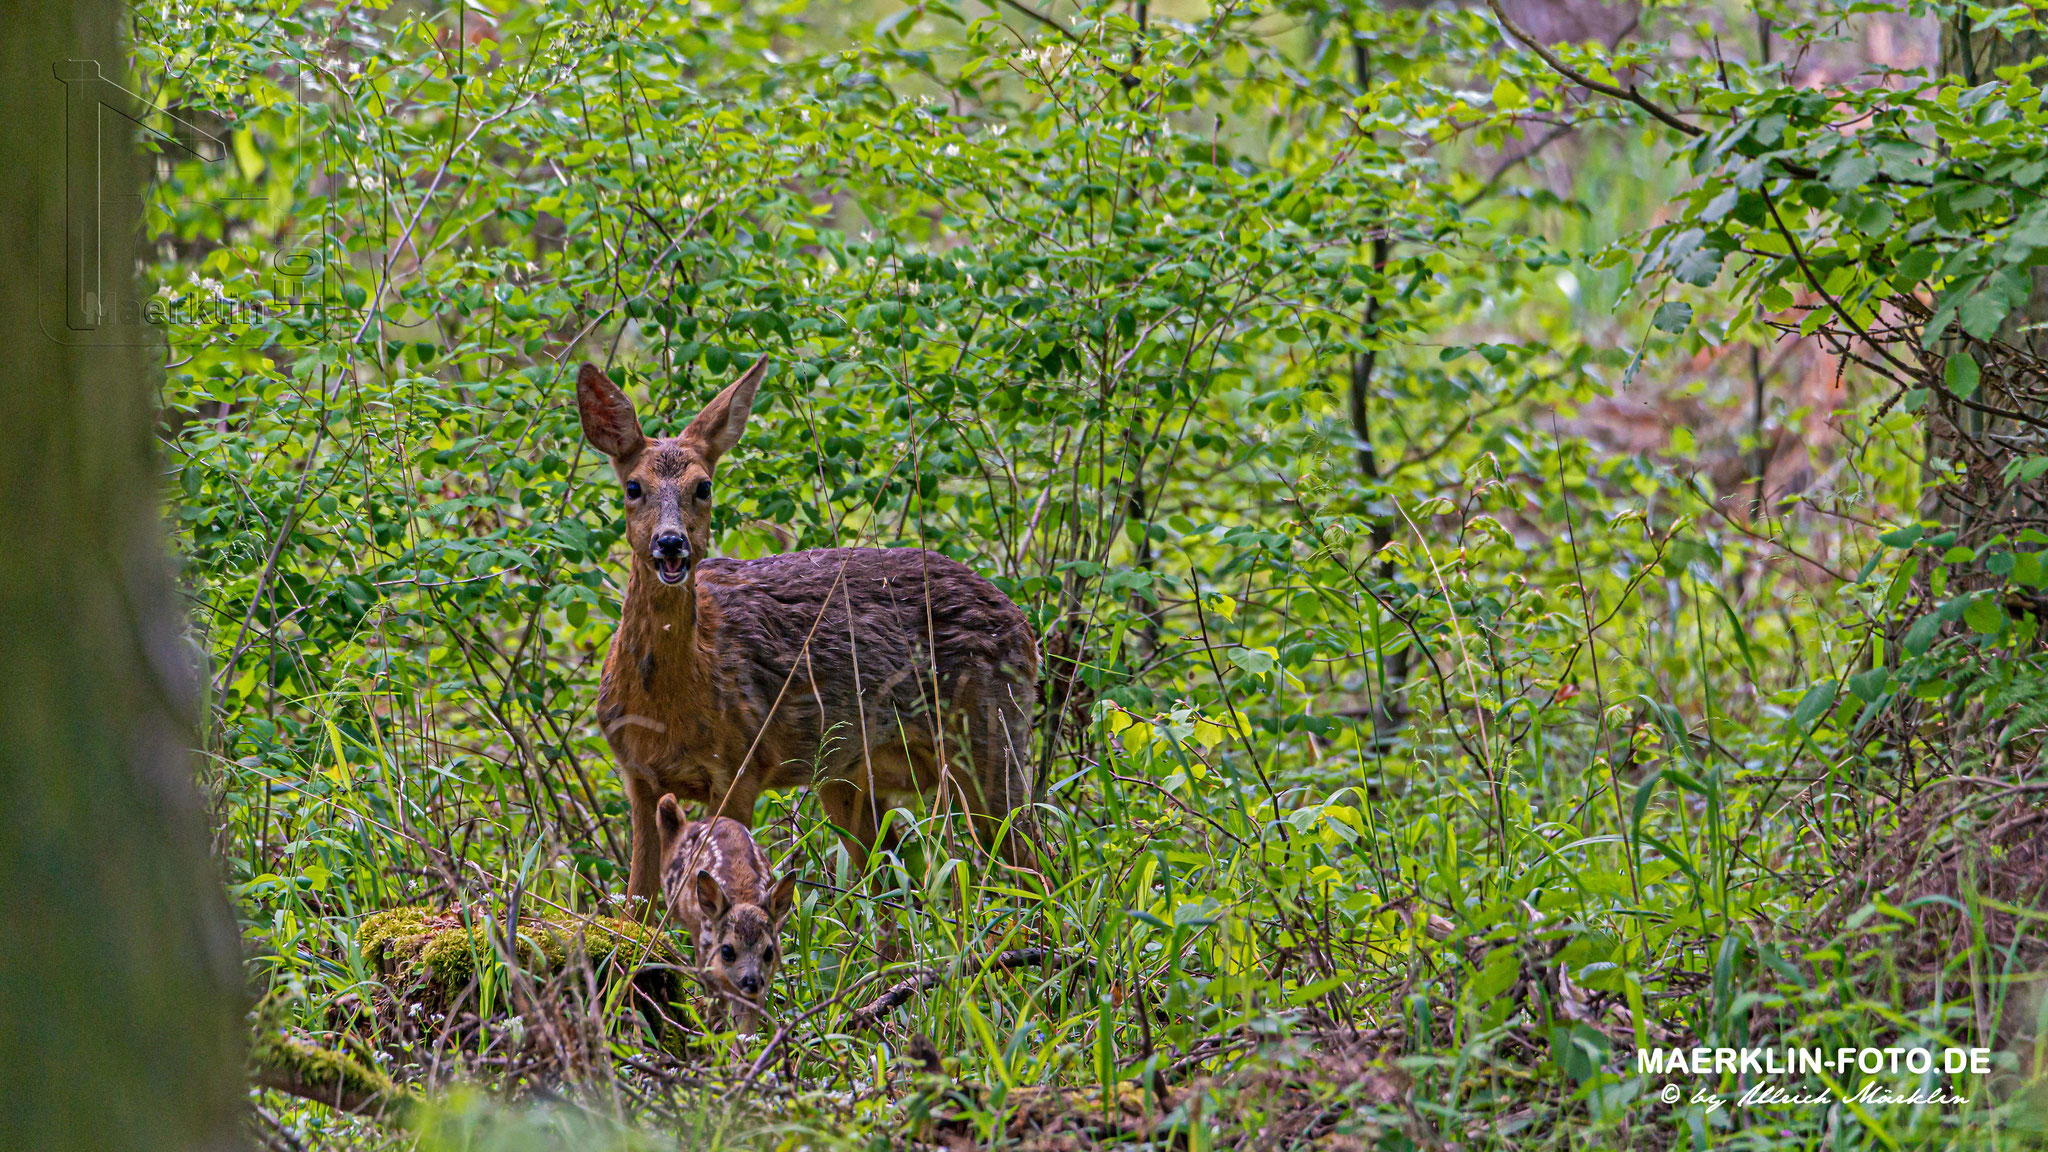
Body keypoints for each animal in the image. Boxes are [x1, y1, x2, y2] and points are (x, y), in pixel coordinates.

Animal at [581, 354, 1040, 910]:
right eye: (633, 487)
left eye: (703, 486)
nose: (671, 544)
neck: (667, 703)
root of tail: (1025, 628)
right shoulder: (639, 778)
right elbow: (638, 906)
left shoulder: (740, 765)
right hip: (853, 775)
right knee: (894, 891)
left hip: (990, 736)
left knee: (1037, 870)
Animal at [663, 795, 806, 1024]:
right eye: (727, 951)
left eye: (769, 951)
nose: (752, 981)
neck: (743, 897)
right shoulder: (708, 963)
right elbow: (715, 1008)